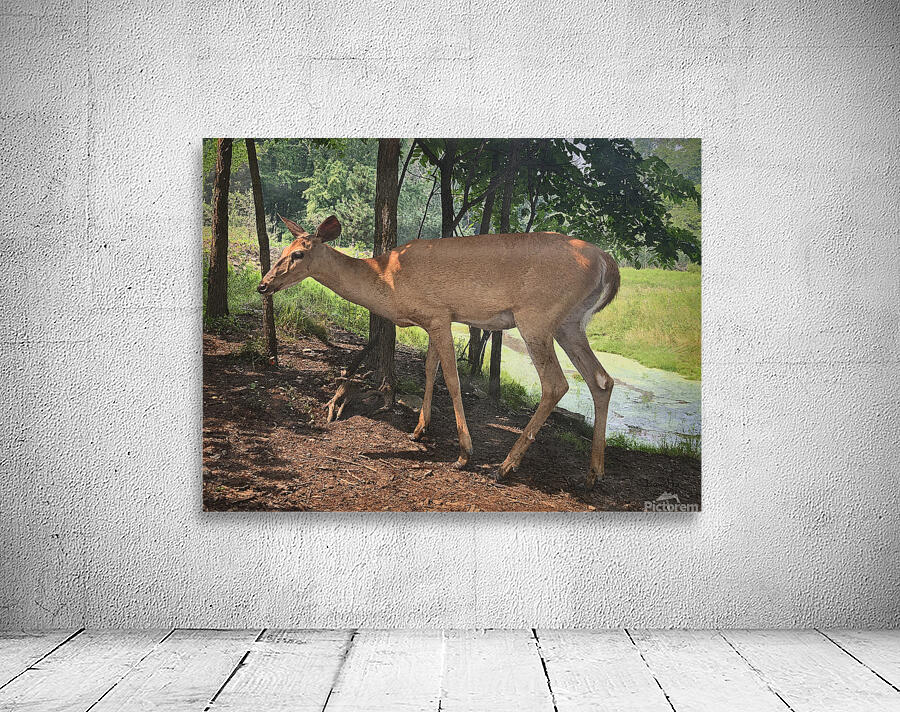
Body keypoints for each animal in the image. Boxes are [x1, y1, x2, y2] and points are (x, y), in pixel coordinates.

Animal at [257, 214, 620, 488]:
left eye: (299, 254)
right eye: (284, 248)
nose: (263, 284)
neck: (387, 282)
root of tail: (609, 264)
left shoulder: (440, 314)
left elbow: (453, 379)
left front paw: (464, 454)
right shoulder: (431, 321)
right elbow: (430, 369)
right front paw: (419, 430)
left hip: (537, 317)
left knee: (556, 383)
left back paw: (504, 466)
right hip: (571, 323)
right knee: (602, 379)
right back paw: (594, 473)